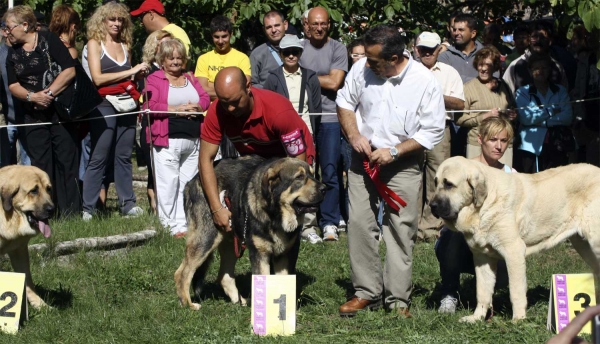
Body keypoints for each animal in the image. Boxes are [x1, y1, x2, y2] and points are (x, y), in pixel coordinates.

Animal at [173, 155, 324, 310]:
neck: (275, 216)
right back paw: (188, 304)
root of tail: (191, 181)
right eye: (299, 177)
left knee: (224, 276)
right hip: (206, 238)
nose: (324, 188)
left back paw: (240, 301)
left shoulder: (284, 255)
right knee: (181, 273)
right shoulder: (260, 254)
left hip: (232, 242)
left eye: (313, 174)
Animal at [432, 157, 600, 322]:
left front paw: (518, 320)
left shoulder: (513, 251)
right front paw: (477, 317)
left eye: (449, 184)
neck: (483, 206)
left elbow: (516, 290)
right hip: (583, 245)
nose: (432, 205)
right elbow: (482, 291)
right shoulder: (482, 258)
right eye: (435, 182)